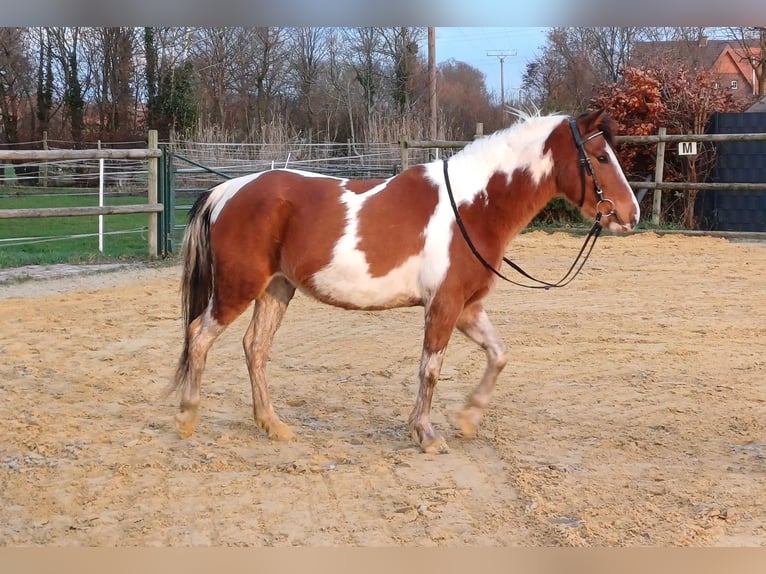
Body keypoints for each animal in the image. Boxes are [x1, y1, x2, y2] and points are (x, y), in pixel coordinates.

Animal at [168, 110, 640, 456]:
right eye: (600, 157)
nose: (630, 214)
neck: (473, 206)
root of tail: (230, 189)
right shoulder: (443, 306)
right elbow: (430, 370)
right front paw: (426, 434)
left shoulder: (466, 307)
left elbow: (499, 354)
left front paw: (468, 417)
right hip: (238, 288)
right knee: (199, 336)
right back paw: (187, 417)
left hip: (276, 289)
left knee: (255, 348)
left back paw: (273, 424)